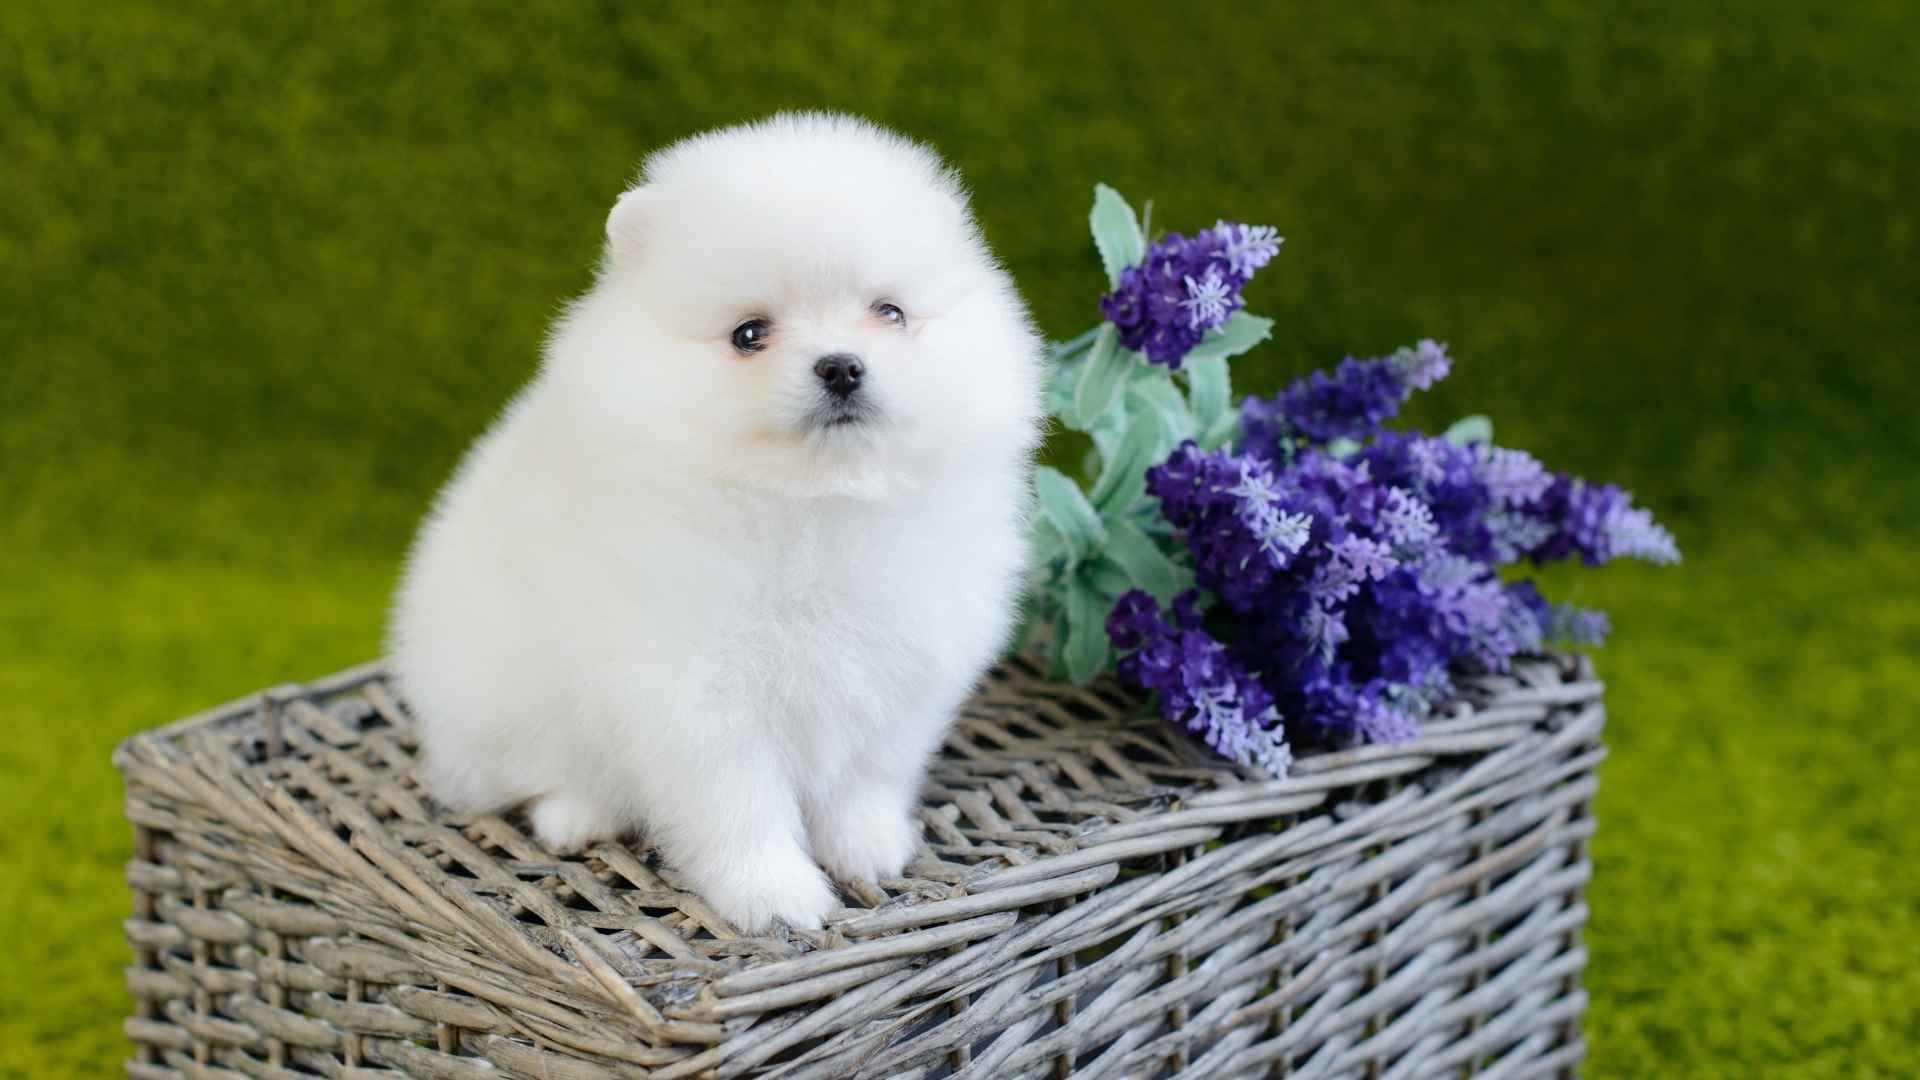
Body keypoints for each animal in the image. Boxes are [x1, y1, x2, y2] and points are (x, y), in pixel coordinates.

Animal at [393, 113, 1052, 930]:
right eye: (748, 334)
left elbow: (865, 777)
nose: (841, 365)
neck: (814, 504)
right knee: (535, 774)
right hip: (497, 702)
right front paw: (775, 897)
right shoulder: (696, 696)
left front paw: (868, 848)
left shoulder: (899, 667)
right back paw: (574, 816)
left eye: (890, 312)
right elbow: (739, 807)